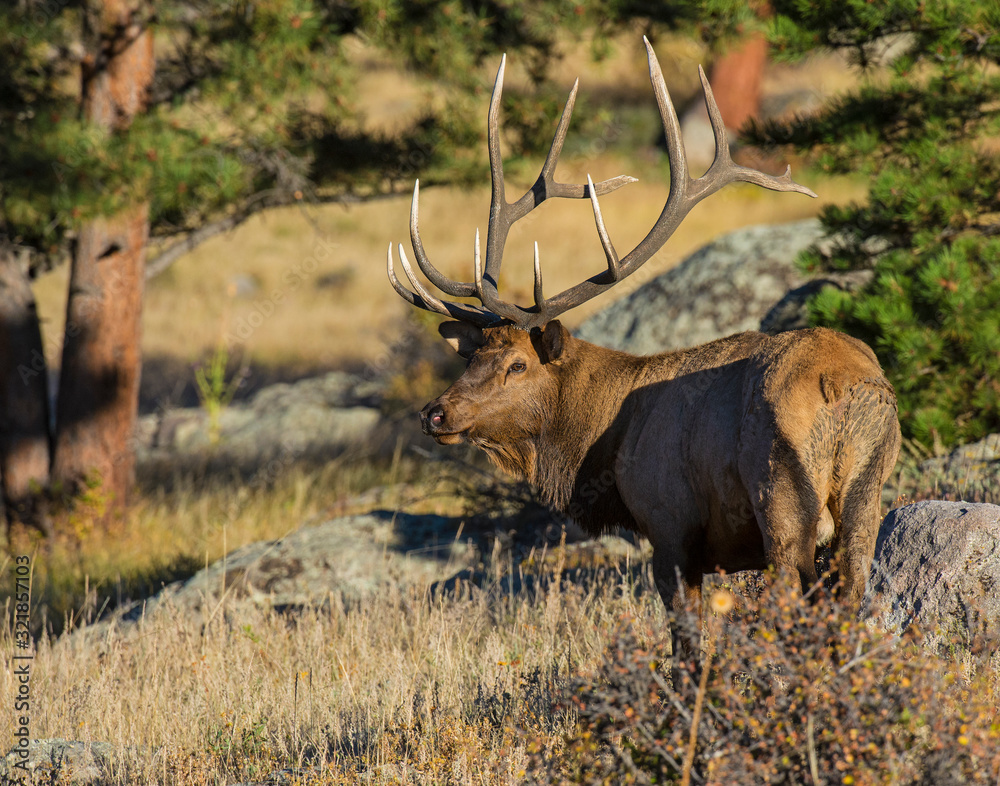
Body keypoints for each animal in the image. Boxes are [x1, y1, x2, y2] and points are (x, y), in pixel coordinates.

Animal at [386, 38, 904, 624]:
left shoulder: (670, 523)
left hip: (783, 498)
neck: (603, 441)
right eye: (470, 358)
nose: (434, 413)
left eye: (517, 365)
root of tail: (840, 387)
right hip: (867, 493)